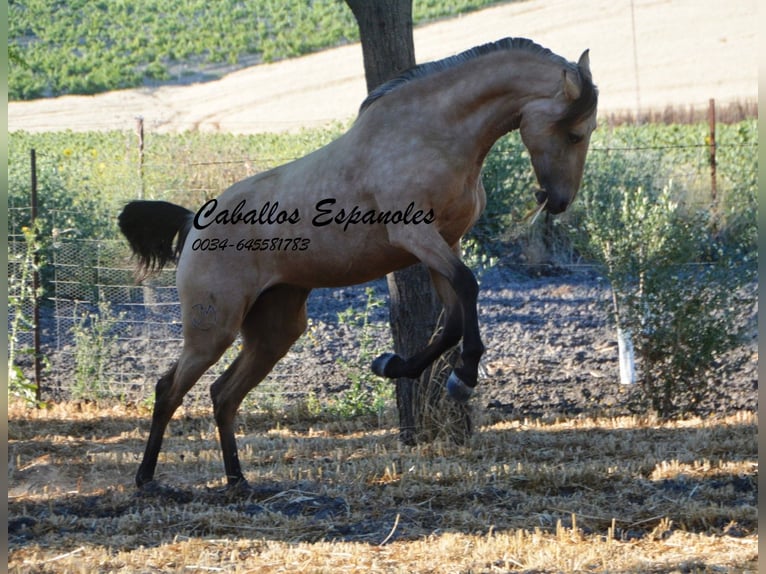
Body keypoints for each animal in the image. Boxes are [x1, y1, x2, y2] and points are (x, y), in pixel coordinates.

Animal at [118, 37, 600, 490]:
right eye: (576, 134)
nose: (558, 201)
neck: (433, 134)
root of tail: (192, 221)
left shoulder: (444, 244)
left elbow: (453, 319)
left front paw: (393, 366)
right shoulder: (417, 237)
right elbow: (468, 290)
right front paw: (462, 376)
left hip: (275, 331)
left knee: (223, 395)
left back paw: (237, 480)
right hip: (213, 328)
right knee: (169, 389)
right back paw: (146, 479)